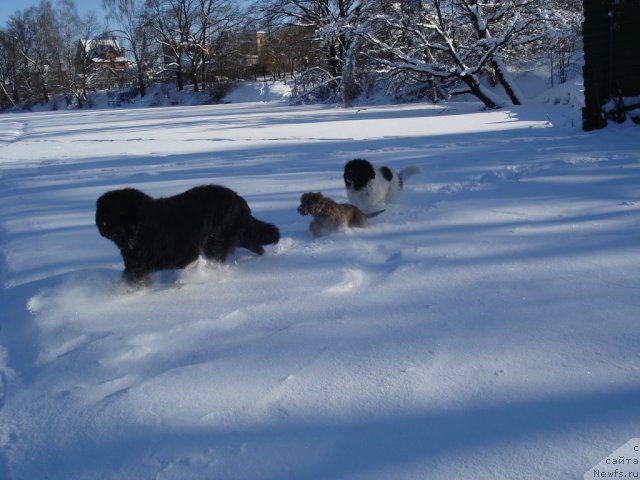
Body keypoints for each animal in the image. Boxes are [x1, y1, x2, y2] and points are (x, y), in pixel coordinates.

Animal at [94, 183, 278, 282]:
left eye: (116, 213)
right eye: (102, 213)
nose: (102, 226)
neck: (140, 228)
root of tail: (238, 199)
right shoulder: (135, 261)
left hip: (217, 237)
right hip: (233, 235)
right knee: (253, 242)